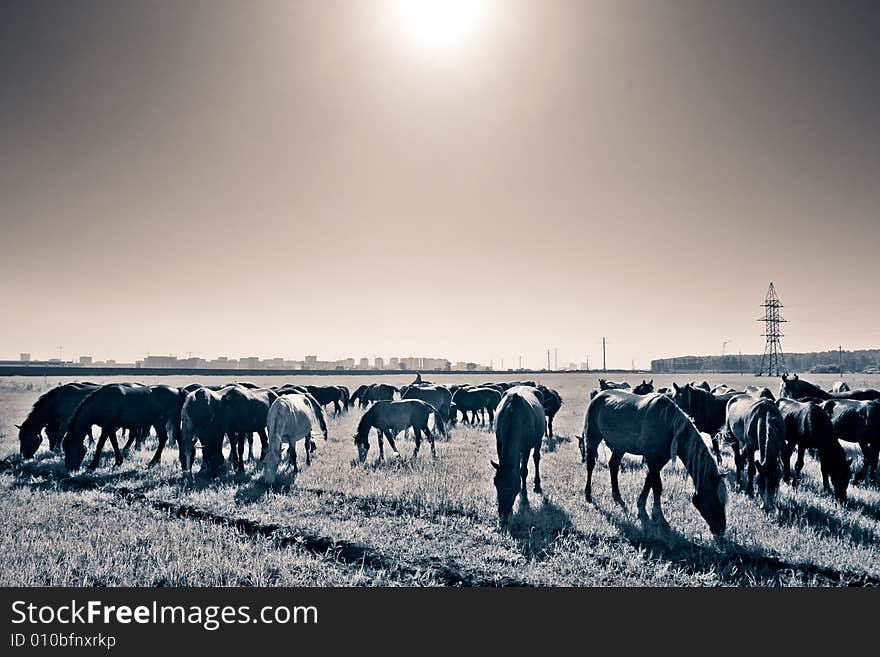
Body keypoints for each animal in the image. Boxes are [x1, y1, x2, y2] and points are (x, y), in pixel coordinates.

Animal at [492, 386, 548, 524]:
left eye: (513, 487)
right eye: (496, 483)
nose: (503, 514)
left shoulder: (526, 447)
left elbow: (523, 471)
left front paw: (524, 496)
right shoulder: (499, 444)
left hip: (538, 440)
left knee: (536, 458)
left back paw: (537, 485)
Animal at [580, 390, 724, 532]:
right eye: (714, 498)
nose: (721, 529)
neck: (668, 424)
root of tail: (598, 395)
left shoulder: (659, 460)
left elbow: (649, 481)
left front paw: (642, 508)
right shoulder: (652, 459)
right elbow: (657, 486)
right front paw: (658, 516)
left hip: (620, 447)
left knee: (613, 466)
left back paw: (617, 497)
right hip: (593, 437)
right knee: (590, 465)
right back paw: (588, 494)